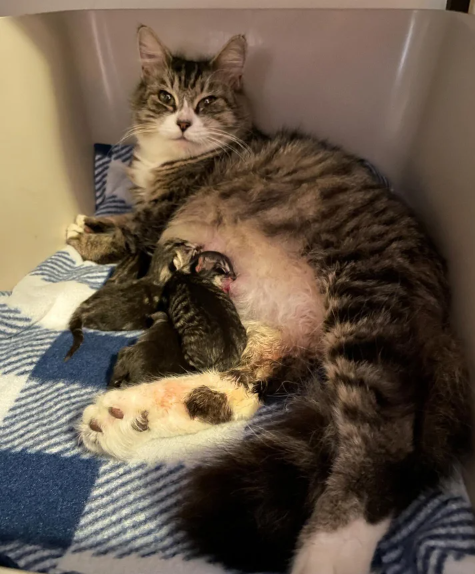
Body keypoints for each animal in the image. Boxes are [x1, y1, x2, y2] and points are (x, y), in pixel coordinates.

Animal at [67, 25, 472, 574]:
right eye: (166, 97)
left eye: (208, 102)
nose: (183, 122)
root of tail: (443, 322)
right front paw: (88, 219)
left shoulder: (156, 219)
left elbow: (122, 231)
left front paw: (83, 232)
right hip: (279, 331)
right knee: (241, 391)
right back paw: (127, 417)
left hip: (366, 304)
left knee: (384, 443)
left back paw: (330, 551)